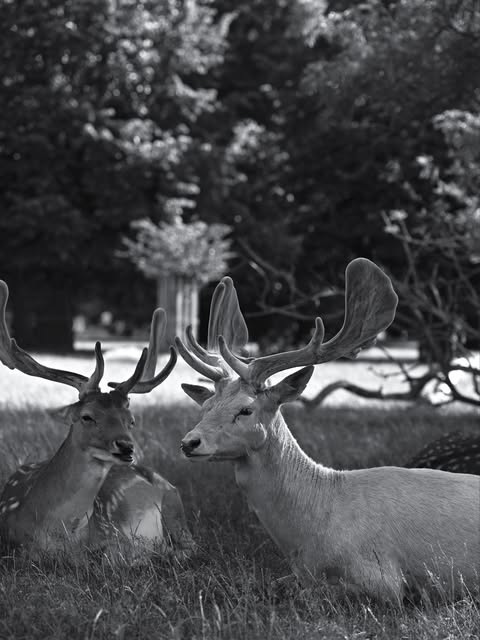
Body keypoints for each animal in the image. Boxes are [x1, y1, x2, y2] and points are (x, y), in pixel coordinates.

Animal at [175, 259, 480, 605]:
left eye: (245, 409)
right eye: (207, 405)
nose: (189, 442)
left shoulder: (382, 577)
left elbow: (312, 596)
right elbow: (267, 584)